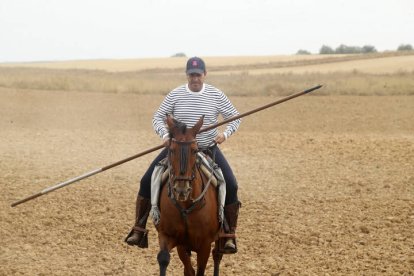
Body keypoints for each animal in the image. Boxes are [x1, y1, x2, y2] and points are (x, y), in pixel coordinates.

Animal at [155, 113, 223, 274]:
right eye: (172, 149)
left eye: (194, 150)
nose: (182, 190)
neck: (186, 205)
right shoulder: (170, 237)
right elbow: (165, 259)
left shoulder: (204, 245)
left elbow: (199, 271)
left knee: (217, 255)